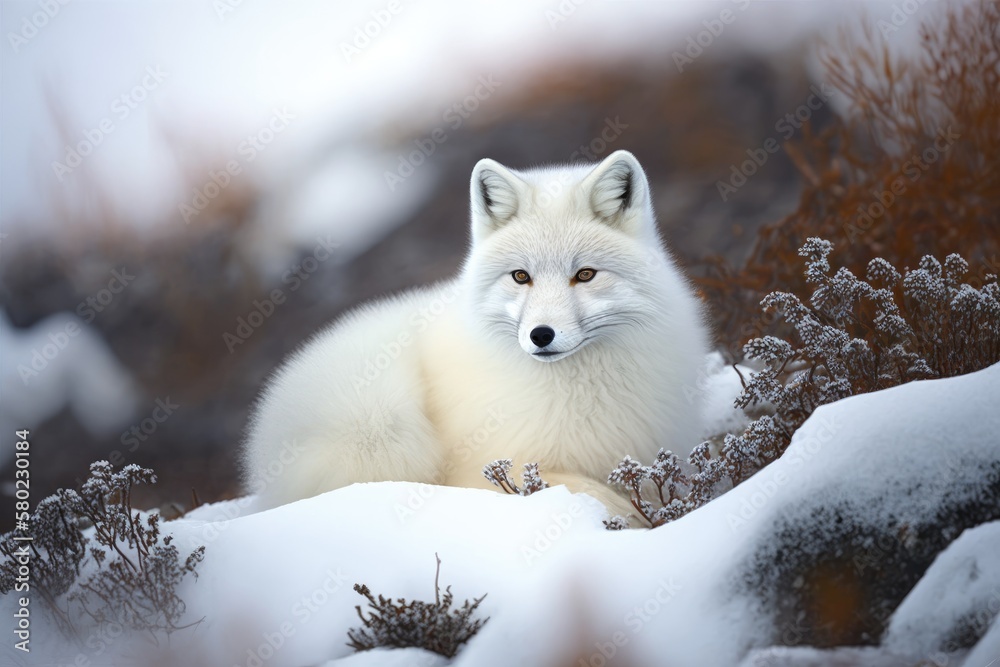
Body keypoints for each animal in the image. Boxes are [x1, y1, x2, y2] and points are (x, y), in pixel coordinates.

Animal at [243, 150, 712, 516]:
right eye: (521, 276)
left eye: (585, 274)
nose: (541, 335)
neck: (580, 391)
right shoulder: (483, 465)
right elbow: (575, 486)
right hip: (379, 419)